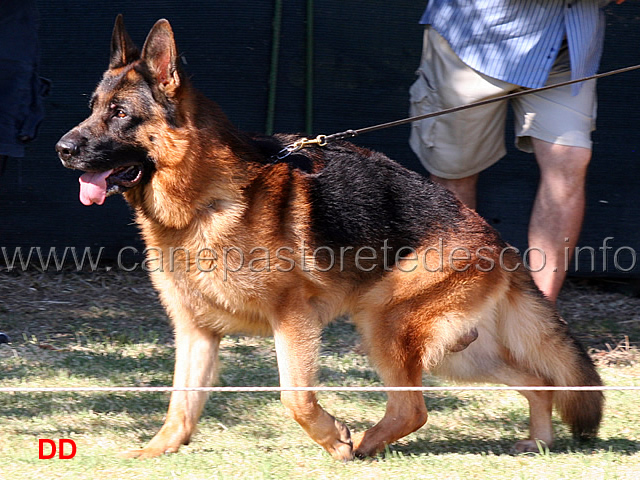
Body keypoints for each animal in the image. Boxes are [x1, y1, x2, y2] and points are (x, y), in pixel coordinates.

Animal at [56, 16, 604, 460]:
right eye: (93, 108)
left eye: (121, 113)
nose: (62, 148)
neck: (206, 199)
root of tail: (498, 242)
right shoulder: (196, 332)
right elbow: (180, 402)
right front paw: (158, 449)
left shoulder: (292, 320)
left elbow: (294, 396)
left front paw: (332, 437)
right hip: (457, 353)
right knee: (537, 380)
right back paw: (537, 441)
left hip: (385, 323)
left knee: (415, 409)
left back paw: (362, 445)